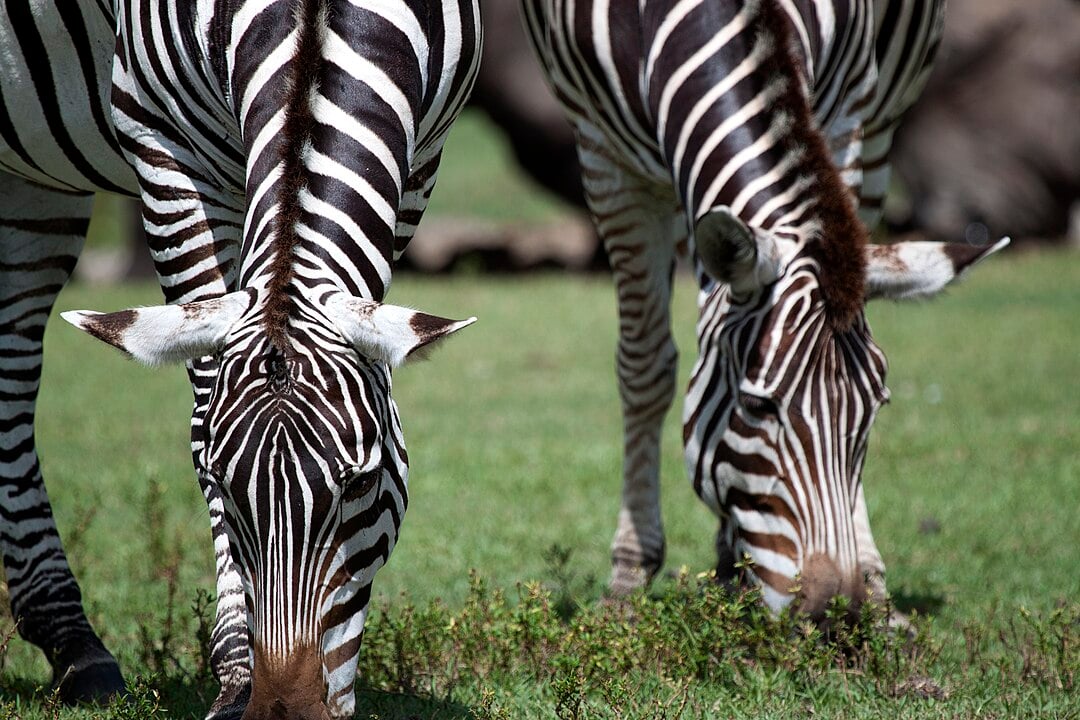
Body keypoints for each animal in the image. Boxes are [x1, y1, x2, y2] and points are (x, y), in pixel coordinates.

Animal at [0, 2, 479, 716]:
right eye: (218, 482)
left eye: (362, 485)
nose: (286, 712)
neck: (313, 24)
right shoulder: (159, 139)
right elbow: (204, 391)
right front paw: (235, 675)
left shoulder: (423, 156)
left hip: (34, 183)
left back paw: (73, 643)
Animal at [518, 0, 1006, 621]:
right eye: (755, 405)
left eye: (876, 409)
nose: (834, 615)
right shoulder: (604, 156)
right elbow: (645, 367)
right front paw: (628, 577)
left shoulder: (844, 117)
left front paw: (866, 581)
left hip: (881, 127)